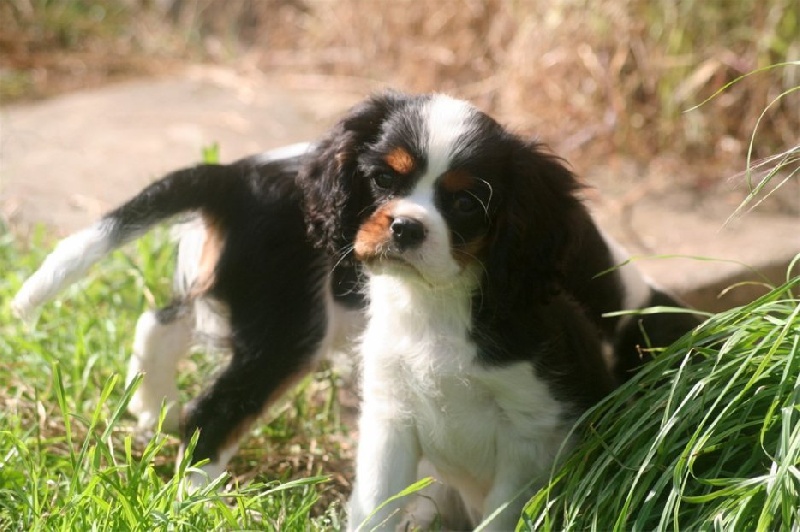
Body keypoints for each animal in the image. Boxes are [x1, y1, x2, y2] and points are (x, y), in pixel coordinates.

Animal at [10, 90, 700, 490]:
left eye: (468, 203)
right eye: (383, 181)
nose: (406, 225)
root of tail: (234, 175)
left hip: (232, 282)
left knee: (159, 321)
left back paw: (150, 408)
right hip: (289, 328)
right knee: (215, 413)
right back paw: (197, 488)